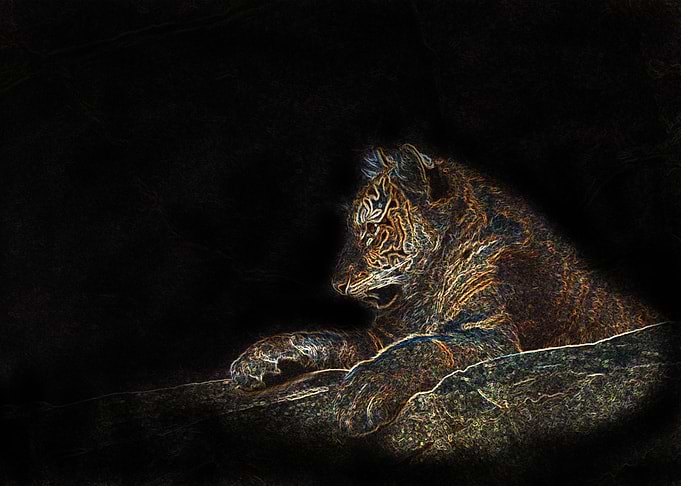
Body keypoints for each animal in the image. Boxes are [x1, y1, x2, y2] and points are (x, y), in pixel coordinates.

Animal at [230, 144, 662, 436]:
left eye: (372, 227)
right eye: (354, 228)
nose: (335, 283)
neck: (426, 289)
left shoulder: (494, 335)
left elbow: (425, 346)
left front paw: (362, 393)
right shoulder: (380, 336)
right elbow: (326, 337)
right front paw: (258, 360)